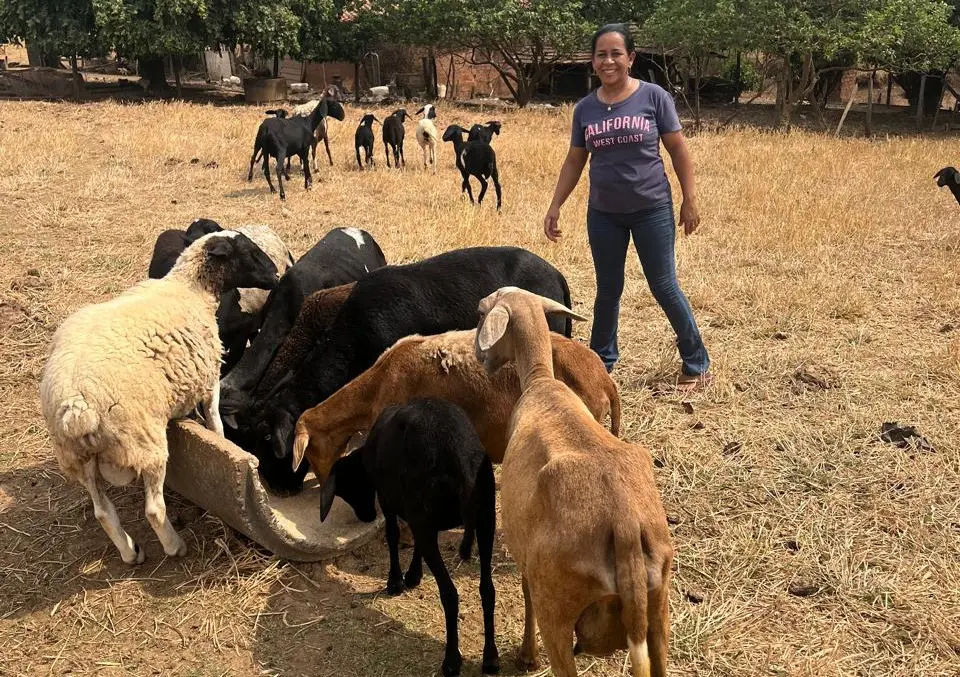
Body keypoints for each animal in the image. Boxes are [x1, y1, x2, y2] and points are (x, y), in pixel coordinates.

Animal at [41, 230, 282, 564]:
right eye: (248, 252)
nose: (276, 275)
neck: (190, 289)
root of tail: (77, 407)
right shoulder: (209, 379)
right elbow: (216, 421)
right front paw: (224, 442)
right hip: (145, 442)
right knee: (154, 509)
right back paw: (174, 546)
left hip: (78, 458)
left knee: (103, 511)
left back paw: (131, 552)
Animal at [324, 396, 502, 676]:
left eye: (348, 489)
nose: (366, 517)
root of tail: (457, 457)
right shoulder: (420, 518)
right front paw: (414, 575)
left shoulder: (389, 501)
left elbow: (393, 534)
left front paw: (395, 581)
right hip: (486, 519)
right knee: (487, 589)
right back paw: (491, 657)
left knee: (450, 594)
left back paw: (451, 660)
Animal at [474, 286, 676, 676]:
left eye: (480, 312)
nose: (480, 357)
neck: (541, 380)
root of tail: (624, 526)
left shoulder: (527, 557)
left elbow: (526, 593)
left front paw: (527, 656)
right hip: (658, 609)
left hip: (559, 607)